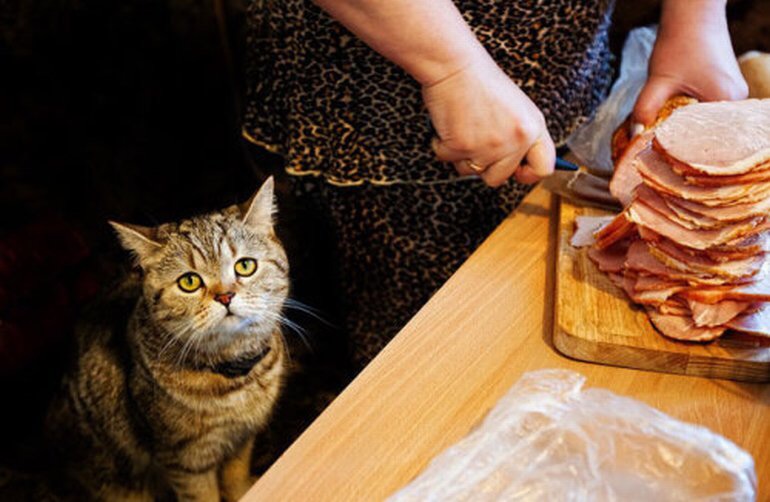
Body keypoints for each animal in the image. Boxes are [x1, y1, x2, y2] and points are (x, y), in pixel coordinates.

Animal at [45, 177, 288, 501]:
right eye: (189, 281)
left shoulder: (242, 438)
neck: (234, 376)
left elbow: (236, 478)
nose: (225, 296)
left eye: (245, 266)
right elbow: (203, 495)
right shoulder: (185, 462)